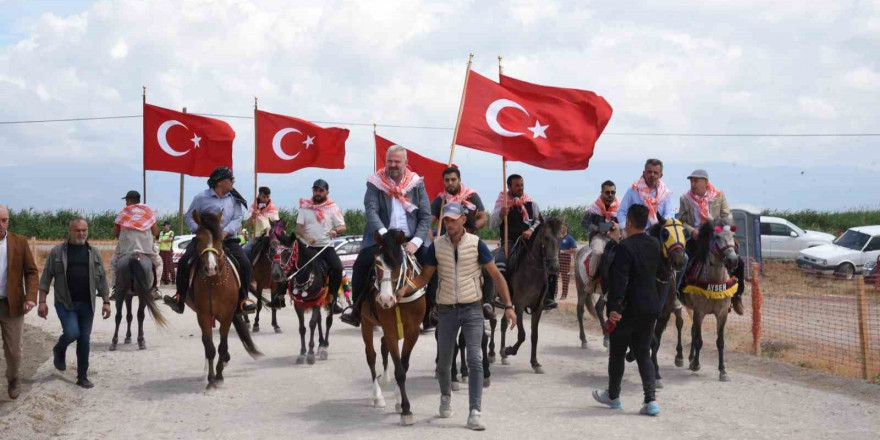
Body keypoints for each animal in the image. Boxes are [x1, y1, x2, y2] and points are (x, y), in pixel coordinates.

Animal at [188, 211, 262, 390]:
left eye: (220, 240)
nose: (211, 268)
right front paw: (211, 380)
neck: (213, 281)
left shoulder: (227, 315)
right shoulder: (203, 316)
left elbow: (222, 346)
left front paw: (219, 376)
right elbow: (210, 348)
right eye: (198, 238)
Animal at [274, 230, 338, 364]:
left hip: (331, 299)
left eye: (288, 252)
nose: (275, 274)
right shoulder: (299, 304)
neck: (305, 276)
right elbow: (302, 328)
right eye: (274, 251)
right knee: (319, 320)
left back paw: (324, 347)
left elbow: (312, 324)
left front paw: (310, 354)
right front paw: (302, 353)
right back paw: (320, 344)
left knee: (328, 321)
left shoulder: (317, 302)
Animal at [358, 230, 426, 426]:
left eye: (397, 264)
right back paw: (377, 396)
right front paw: (406, 409)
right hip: (366, 323)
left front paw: (399, 401)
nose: (385, 300)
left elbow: (403, 365)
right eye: (377, 263)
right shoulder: (389, 328)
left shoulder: (413, 332)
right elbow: (400, 370)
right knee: (371, 356)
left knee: (382, 346)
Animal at [496, 218, 564, 372]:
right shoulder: (519, 305)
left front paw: (535, 363)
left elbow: (534, 336)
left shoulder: (537, 308)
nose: (554, 267)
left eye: (560, 239)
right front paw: (510, 350)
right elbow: (522, 335)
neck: (532, 270)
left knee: (503, 323)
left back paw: (502, 355)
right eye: (546, 237)